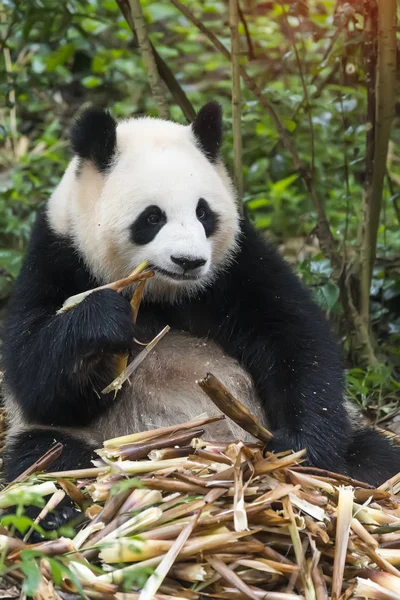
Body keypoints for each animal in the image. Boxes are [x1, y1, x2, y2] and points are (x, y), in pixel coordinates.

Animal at [3, 102, 400, 496]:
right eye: (152, 217)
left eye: (203, 212)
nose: (189, 261)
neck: (165, 294)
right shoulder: (57, 256)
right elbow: (36, 378)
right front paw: (105, 320)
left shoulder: (237, 266)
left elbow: (296, 340)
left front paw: (300, 451)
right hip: (84, 442)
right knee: (48, 461)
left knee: (376, 455)